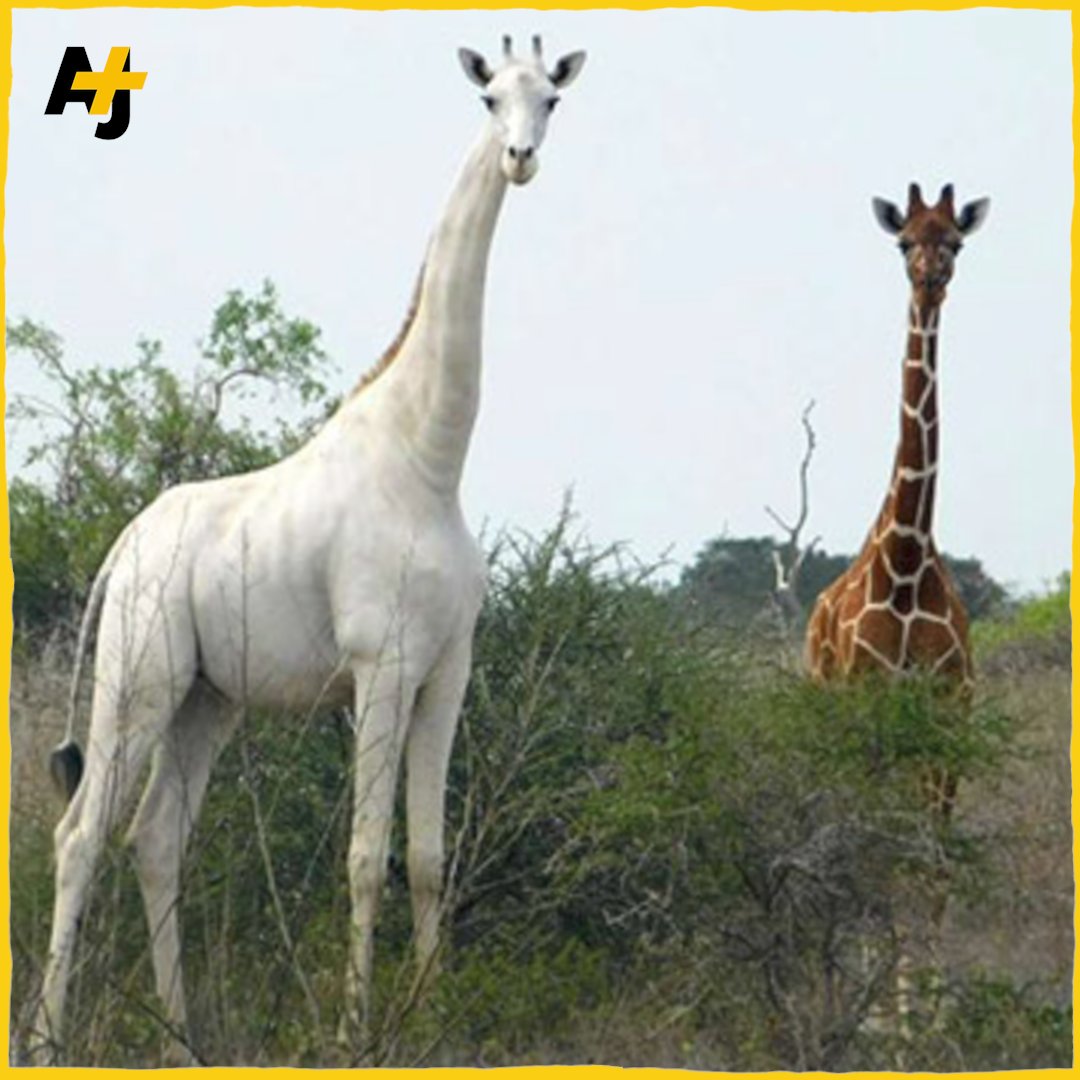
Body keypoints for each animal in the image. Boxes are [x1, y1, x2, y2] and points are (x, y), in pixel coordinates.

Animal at [31, 35, 586, 1064]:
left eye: (552, 101)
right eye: (490, 97)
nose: (521, 158)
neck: (429, 459)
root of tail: (121, 550)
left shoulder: (448, 669)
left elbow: (429, 856)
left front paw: (429, 1023)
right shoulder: (381, 666)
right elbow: (367, 856)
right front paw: (354, 1030)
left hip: (207, 701)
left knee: (156, 838)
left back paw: (181, 1036)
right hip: (139, 677)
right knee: (81, 835)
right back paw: (49, 1040)